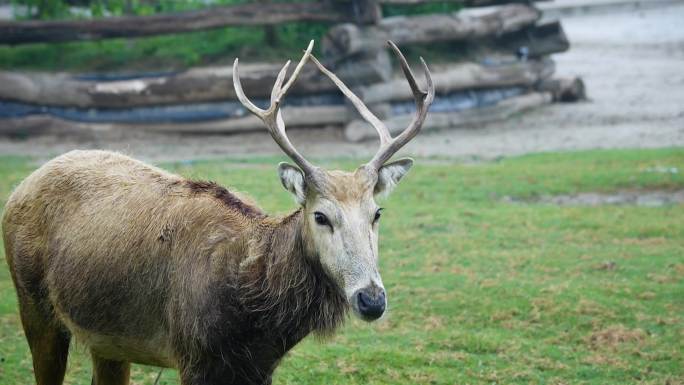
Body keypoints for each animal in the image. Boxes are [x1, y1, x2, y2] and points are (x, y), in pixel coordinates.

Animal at [1, 39, 432, 384]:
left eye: (377, 213)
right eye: (321, 216)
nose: (371, 300)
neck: (254, 320)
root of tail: (21, 186)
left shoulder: (259, 367)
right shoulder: (191, 354)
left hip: (107, 340)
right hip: (33, 304)